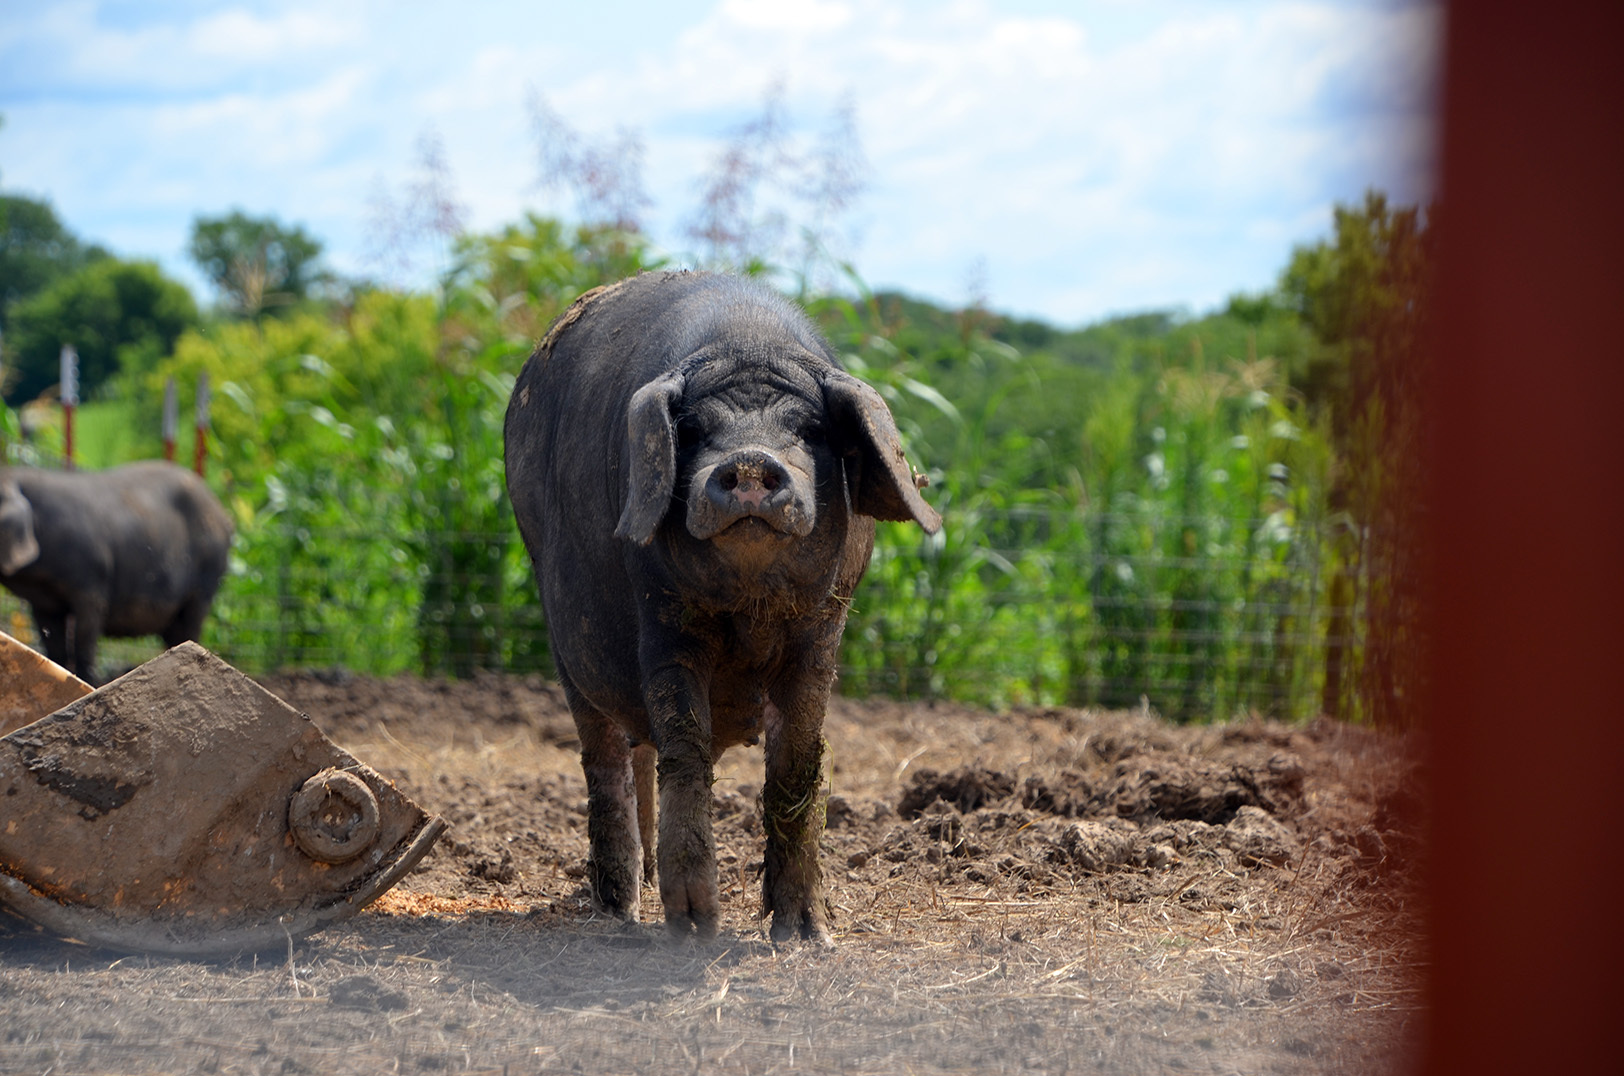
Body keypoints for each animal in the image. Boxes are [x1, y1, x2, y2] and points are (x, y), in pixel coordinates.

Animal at [0, 461, 235, 682]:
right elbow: (55, 648)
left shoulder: (92, 586)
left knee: (192, 625)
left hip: (206, 583)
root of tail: (225, 518)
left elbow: (84, 642)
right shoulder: (44, 604)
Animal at [504, 271, 941, 942]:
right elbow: (686, 744)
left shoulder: (823, 628)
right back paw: (620, 911)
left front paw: (806, 936)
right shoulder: (662, 617)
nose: (751, 460)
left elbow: (797, 762)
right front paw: (695, 926)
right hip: (565, 647)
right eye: (695, 431)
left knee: (641, 753)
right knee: (605, 761)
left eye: (809, 430)